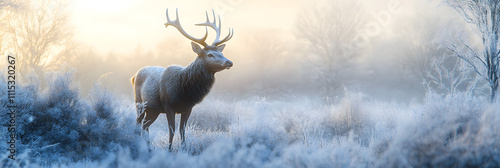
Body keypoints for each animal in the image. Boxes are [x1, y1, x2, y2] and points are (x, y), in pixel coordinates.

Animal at [133, 8, 234, 149]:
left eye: (221, 53)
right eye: (210, 54)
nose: (229, 62)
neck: (184, 91)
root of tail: (133, 77)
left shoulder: (188, 108)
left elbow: (182, 130)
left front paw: (184, 148)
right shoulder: (168, 105)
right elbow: (172, 130)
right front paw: (169, 149)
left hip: (153, 110)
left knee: (145, 126)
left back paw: (149, 148)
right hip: (139, 103)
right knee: (138, 124)